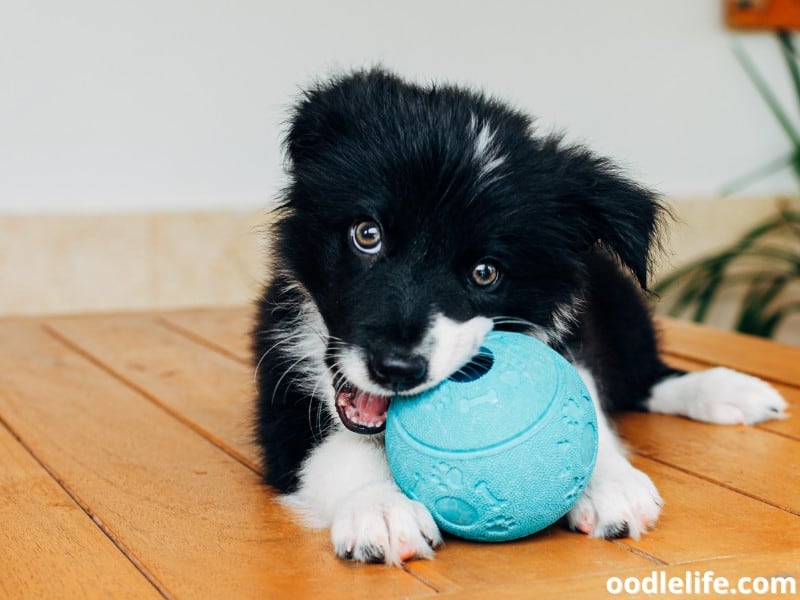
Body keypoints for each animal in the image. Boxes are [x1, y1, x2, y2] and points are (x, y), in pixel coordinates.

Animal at [255, 68, 788, 564]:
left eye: (485, 273)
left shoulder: (571, 331)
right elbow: (333, 452)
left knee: (645, 376)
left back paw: (730, 390)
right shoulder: (278, 394)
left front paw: (608, 481)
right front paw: (380, 510)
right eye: (367, 234)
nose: (397, 369)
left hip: (620, 302)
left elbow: (585, 396)